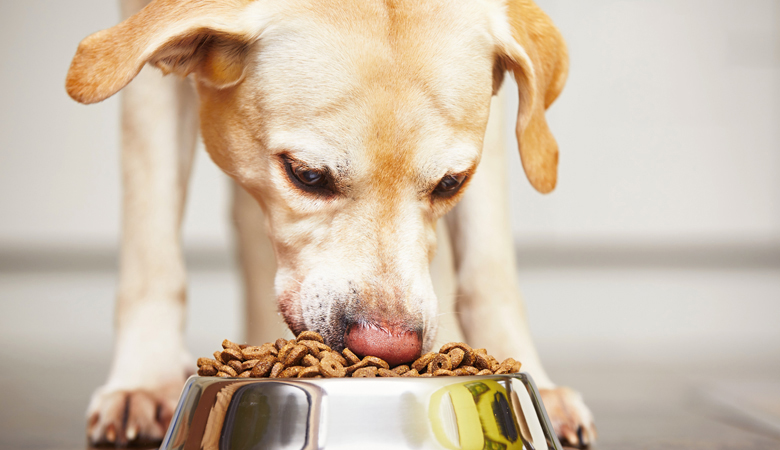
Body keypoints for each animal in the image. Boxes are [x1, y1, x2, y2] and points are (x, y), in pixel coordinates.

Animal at [68, 0, 596, 444]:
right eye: (306, 175)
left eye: (451, 183)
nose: (389, 348)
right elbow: (152, 246)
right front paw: (146, 380)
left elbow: (490, 267)